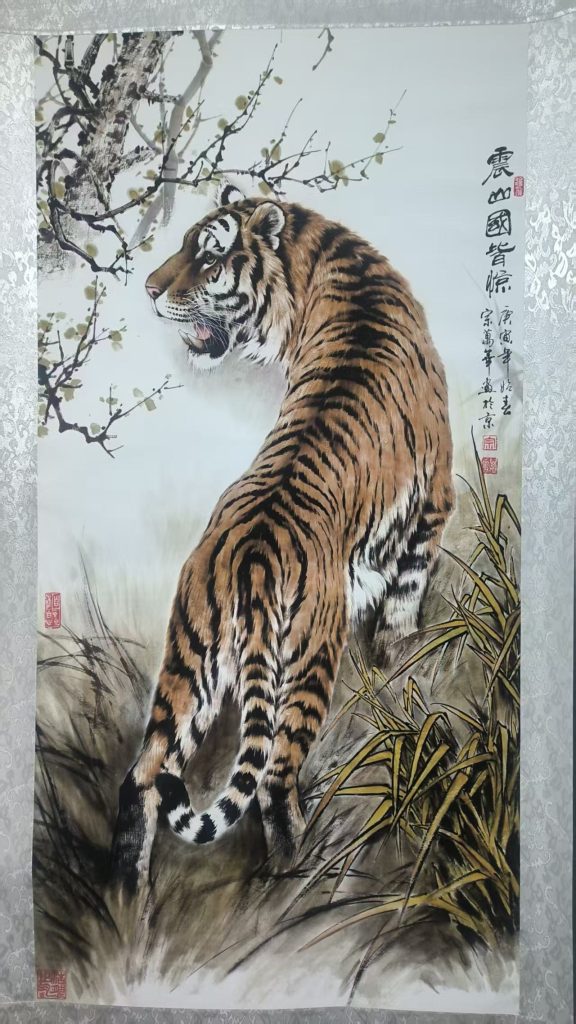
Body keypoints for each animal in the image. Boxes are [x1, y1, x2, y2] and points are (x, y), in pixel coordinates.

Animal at [111, 183, 454, 892]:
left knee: (145, 776)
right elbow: (404, 599)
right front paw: (400, 658)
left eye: (207, 256)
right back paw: (298, 877)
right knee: (271, 783)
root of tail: (250, 556)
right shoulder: (435, 499)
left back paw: (129, 894)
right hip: (307, 659)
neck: (320, 256)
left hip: (189, 659)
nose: (150, 290)